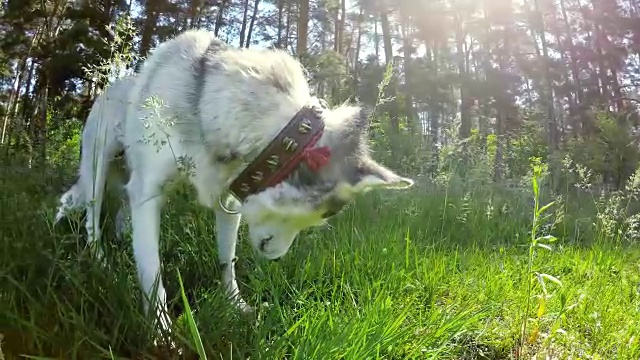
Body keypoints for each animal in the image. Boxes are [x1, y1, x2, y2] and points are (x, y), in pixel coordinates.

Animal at [56, 29, 416, 336]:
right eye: (322, 215)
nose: (275, 258)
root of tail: (110, 85)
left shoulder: (229, 203)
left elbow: (226, 261)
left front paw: (235, 305)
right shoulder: (148, 194)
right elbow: (151, 271)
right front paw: (162, 335)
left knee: (114, 210)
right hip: (97, 169)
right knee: (90, 216)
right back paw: (99, 259)